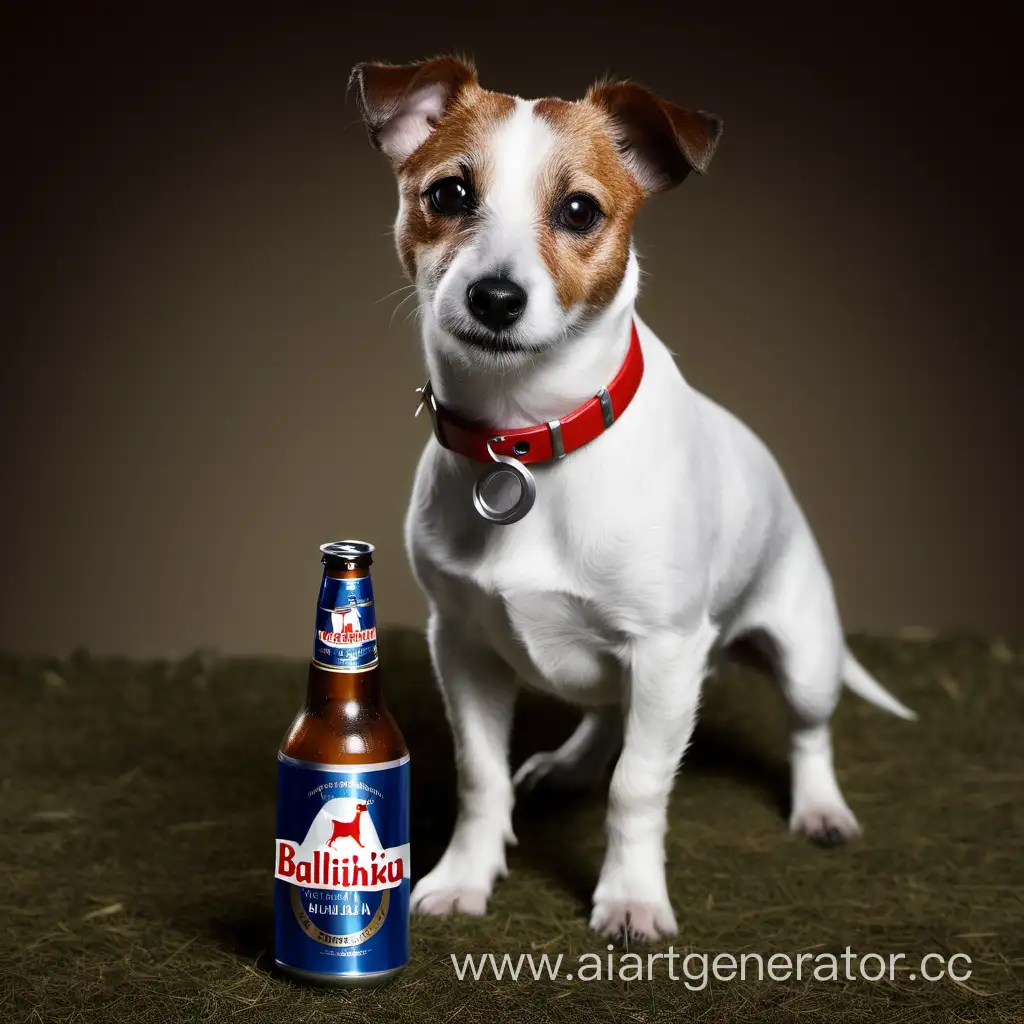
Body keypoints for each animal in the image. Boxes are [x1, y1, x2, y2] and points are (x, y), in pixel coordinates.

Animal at [350, 51, 913, 937]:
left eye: (579, 210)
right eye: (449, 195)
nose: (495, 298)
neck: (525, 439)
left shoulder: (665, 651)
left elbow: (638, 788)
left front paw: (631, 897)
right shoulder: (463, 647)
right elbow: (482, 776)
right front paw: (464, 877)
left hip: (804, 652)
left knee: (808, 732)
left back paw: (820, 808)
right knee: (607, 712)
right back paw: (570, 763)